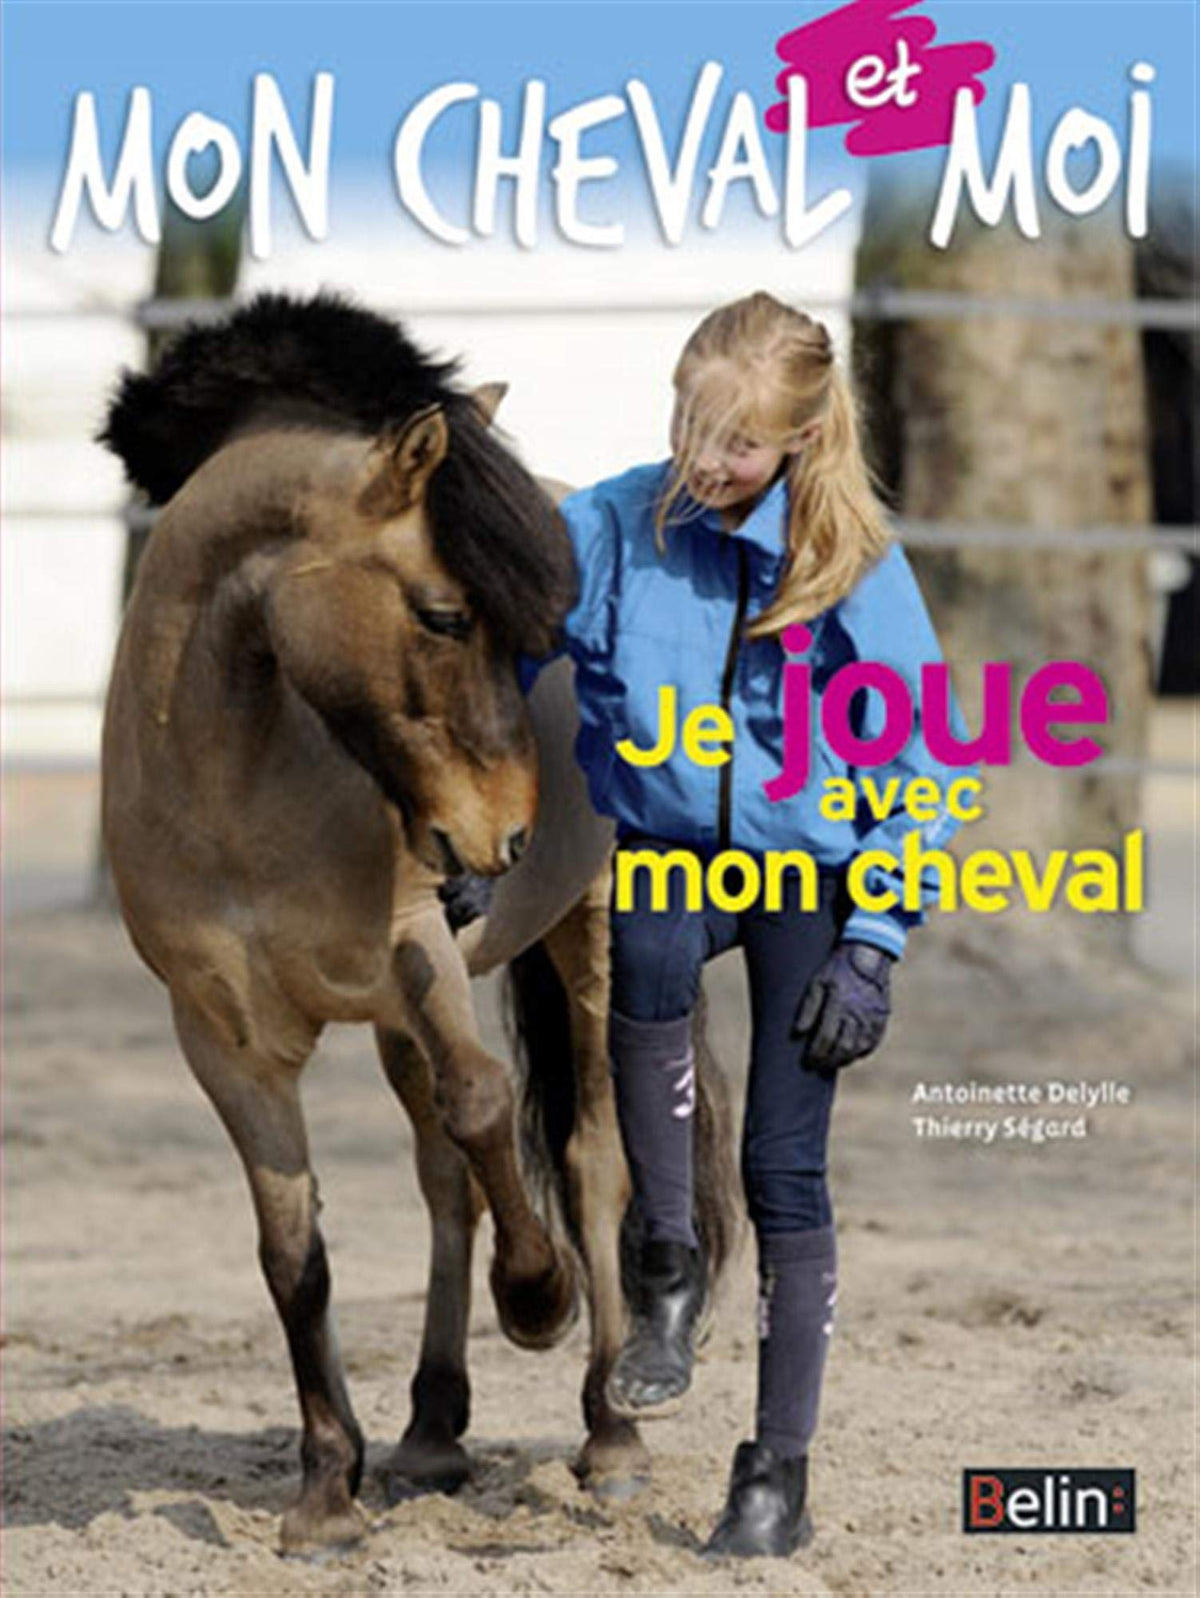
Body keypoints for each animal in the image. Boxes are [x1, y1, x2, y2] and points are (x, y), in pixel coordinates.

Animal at [99, 293, 740, 1551]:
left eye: (529, 630)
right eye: (445, 614)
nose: (503, 838)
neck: (237, 780)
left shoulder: (421, 949)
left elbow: (490, 1101)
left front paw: (534, 1294)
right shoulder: (226, 1040)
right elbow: (293, 1253)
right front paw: (325, 1490)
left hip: (587, 946)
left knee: (587, 1161)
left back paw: (609, 1431)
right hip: (396, 1023)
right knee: (446, 1176)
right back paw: (432, 1428)